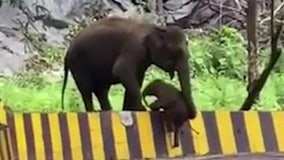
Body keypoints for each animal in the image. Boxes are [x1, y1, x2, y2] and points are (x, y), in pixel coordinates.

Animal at [61, 16, 196, 118]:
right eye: (177, 52)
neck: (156, 28)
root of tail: (67, 53)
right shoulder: (134, 46)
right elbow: (122, 71)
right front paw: (142, 110)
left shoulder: (143, 60)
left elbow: (136, 79)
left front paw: (129, 110)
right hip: (78, 64)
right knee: (87, 89)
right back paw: (94, 112)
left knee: (101, 90)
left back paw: (108, 111)